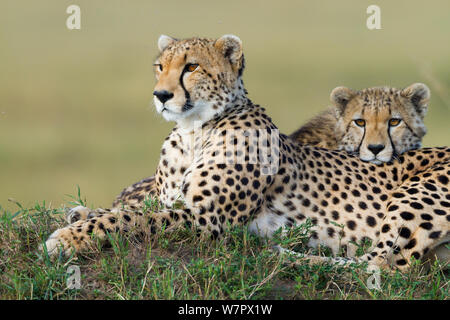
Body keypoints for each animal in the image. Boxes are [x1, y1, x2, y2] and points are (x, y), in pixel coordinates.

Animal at [43, 34, 450, 270]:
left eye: (191, 67)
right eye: (160, 67)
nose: (161, 95)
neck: (193, 132)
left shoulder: (209, 220)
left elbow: (132, 219)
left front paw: (68, 238)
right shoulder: (177, 202)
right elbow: (130, 209)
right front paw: (80, 213)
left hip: (415, 198)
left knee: (383, 266)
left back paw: (286, 252)